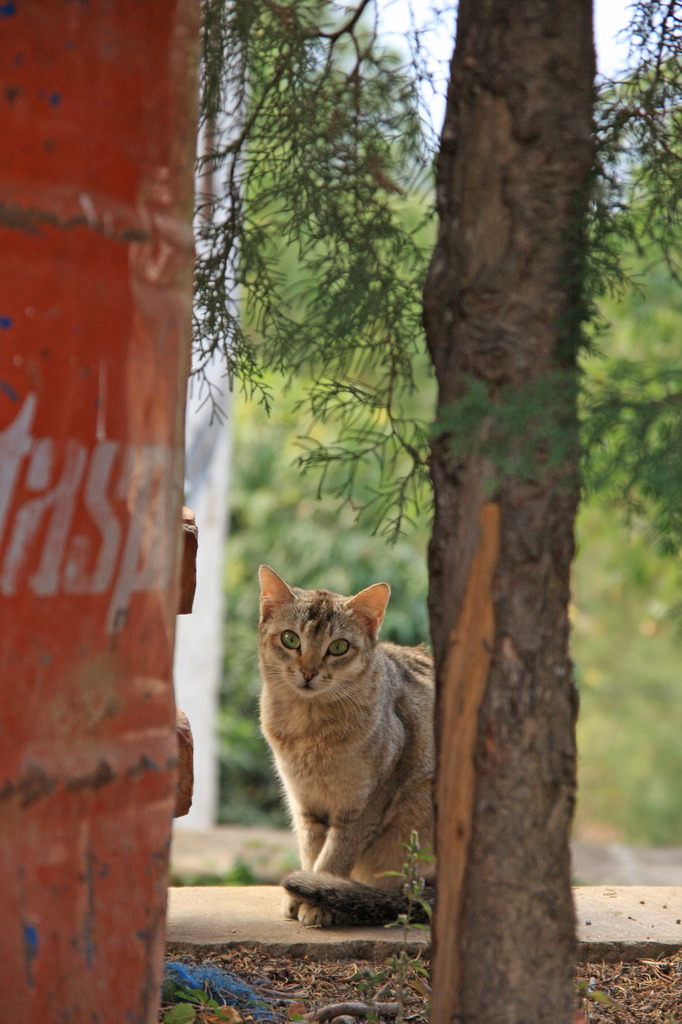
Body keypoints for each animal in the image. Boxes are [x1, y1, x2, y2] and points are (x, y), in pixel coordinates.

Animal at [258, 569, 432, 929]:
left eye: (338, 647)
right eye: (290, 639)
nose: (308, 672)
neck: (311, 733)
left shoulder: (364, 806)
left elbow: (333, 858)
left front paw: (318, 903)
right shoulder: (305, 804)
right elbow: (311, 853)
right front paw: (303, 896)